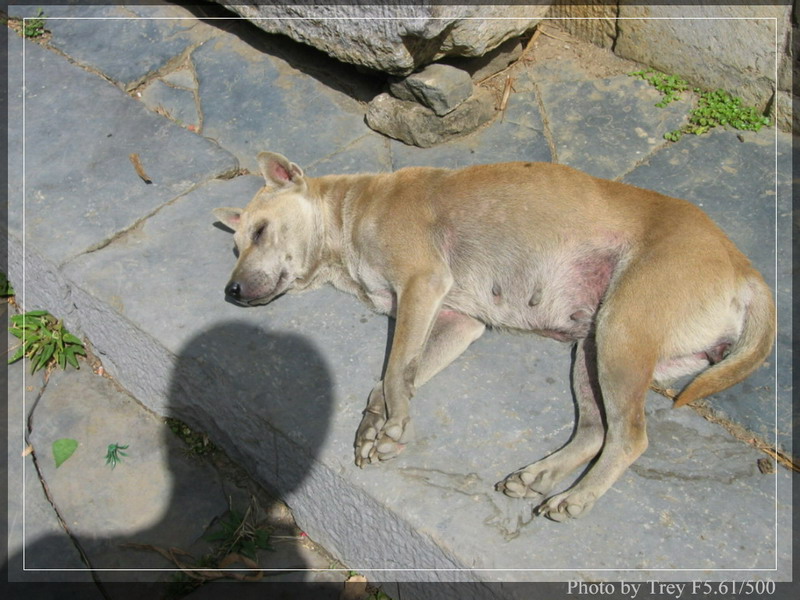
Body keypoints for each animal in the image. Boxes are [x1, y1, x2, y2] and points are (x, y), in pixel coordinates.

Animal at [214, 152, 775, 521]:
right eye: (234, 246)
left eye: (260, 233)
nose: (231, 291)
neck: (349, 215)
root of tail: (745, 269)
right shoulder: (458, 321)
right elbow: (393, 378)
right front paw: (375, 424)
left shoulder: (422, 286)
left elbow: (394, 372)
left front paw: (392, 425)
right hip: (593, 349)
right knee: (597, 430)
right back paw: (540, 475)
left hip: (621, 334)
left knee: (629, 437)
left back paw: (577, 496)